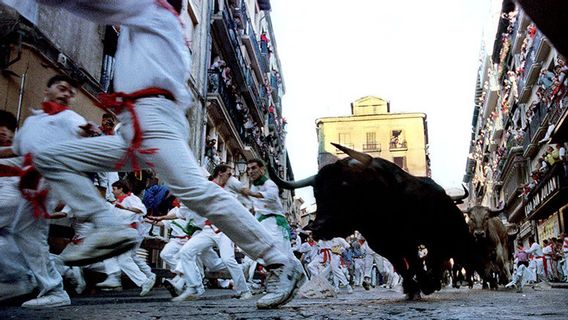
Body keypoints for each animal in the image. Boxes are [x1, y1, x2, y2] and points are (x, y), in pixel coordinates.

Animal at [270, 144, 480, 298]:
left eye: (345, 188)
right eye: (317, 192)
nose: (318, 227)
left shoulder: (408, 240)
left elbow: (415, 262)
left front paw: (424, 285)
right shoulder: (383, 245)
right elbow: (403, 266)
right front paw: (411, 288)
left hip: (448, 237)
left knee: (442, 258)